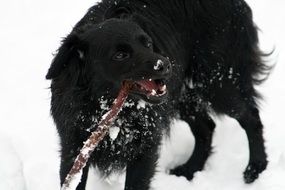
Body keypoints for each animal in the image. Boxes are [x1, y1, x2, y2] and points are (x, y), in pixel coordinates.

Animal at [46, 0, 268, 189]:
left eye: (147, 43)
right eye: (120, 55)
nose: (166, 65)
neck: (108, 110)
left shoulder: (145, 149)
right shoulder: (73, 150)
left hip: (219, 83)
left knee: (250, 117)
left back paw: (255, 168)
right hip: (185, 97)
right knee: (206, 127)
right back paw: (190, 169)